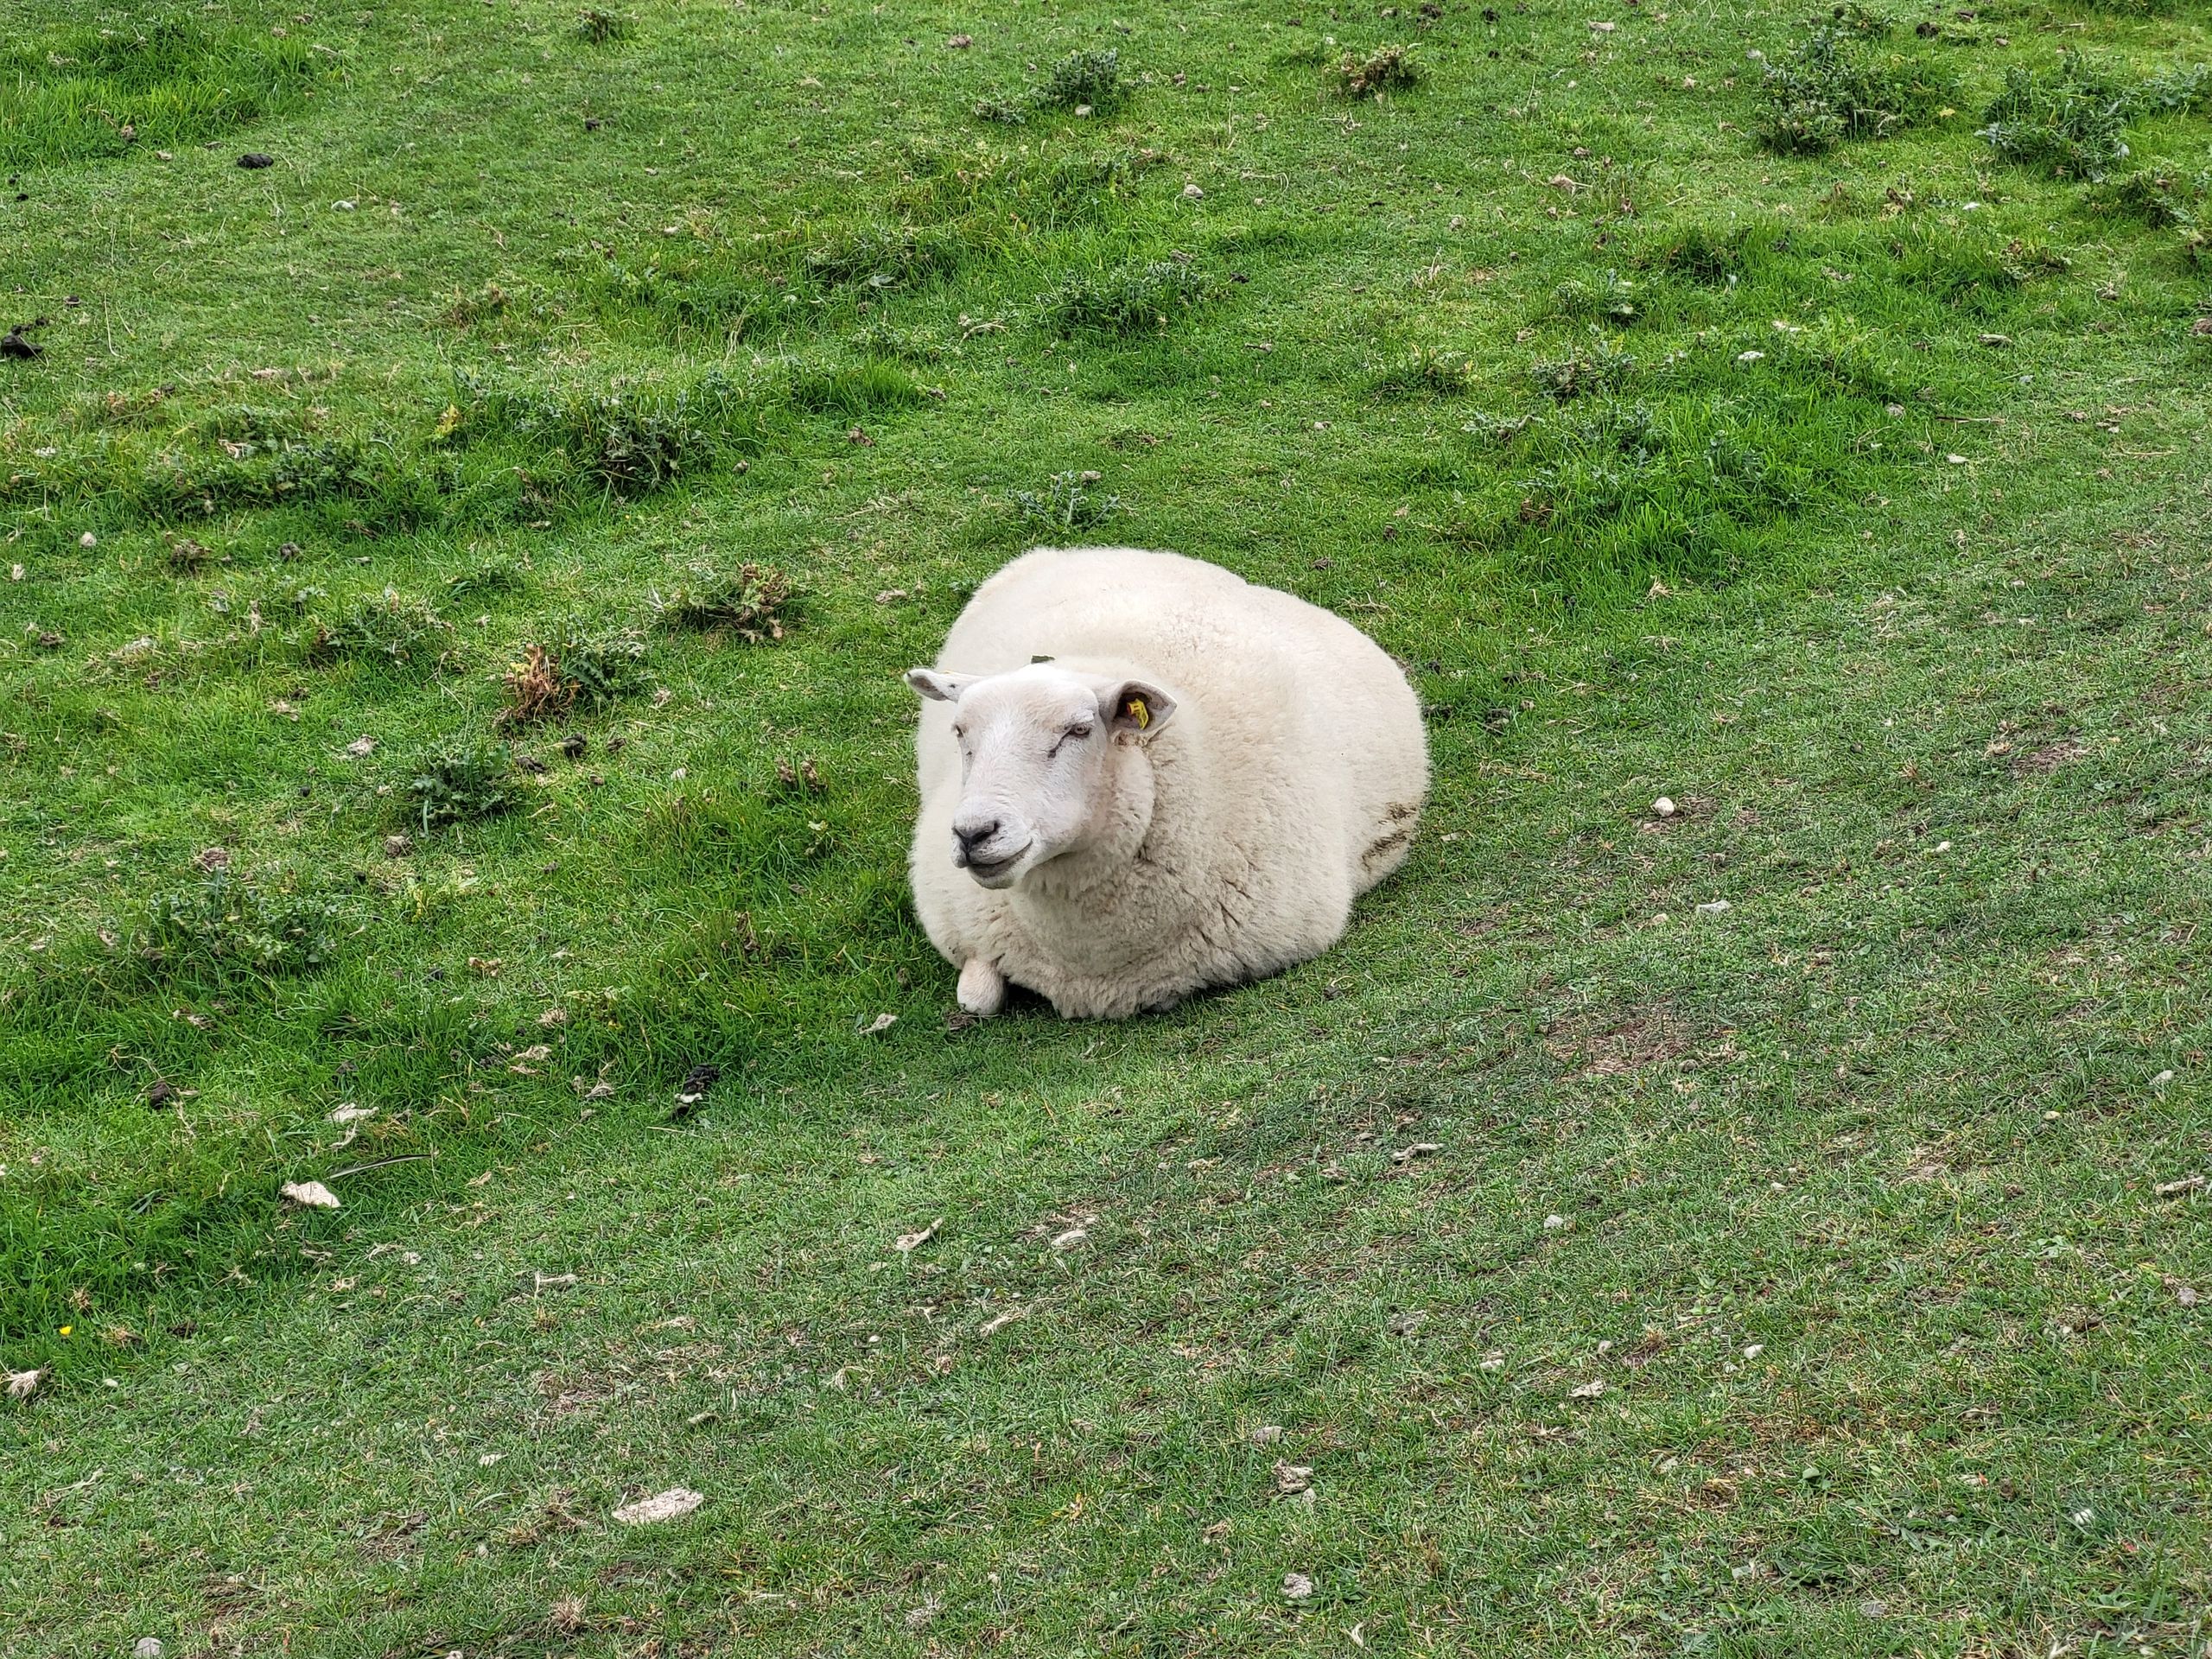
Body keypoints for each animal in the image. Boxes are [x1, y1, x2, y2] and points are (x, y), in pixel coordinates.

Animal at [906, 546, 1427, 1019]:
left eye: (1078, 731)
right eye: (959, 731)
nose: (973, 834)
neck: (1088, 962)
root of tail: (1095, 549)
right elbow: (977, 1001)